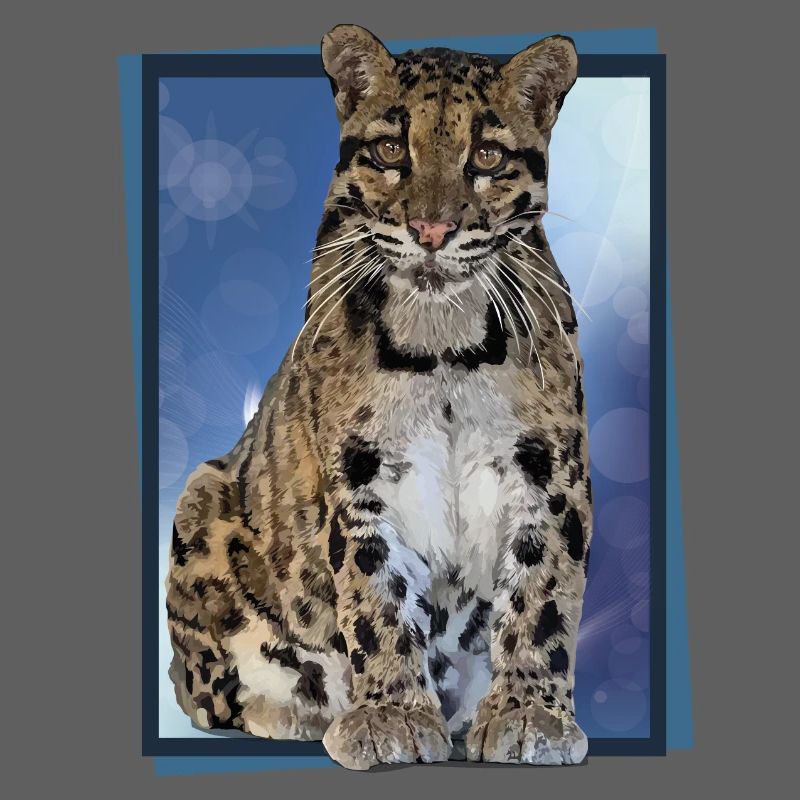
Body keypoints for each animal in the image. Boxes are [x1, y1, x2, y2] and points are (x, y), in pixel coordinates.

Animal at [166, 24, 592, 769]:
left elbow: (543, 595)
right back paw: (301, 711)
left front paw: (529, 714)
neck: (444, 343)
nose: (431, 231)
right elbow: (375, 597)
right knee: (208, 693)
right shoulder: (359, 476)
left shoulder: (549, 473)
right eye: (393, 149)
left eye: (486, 155)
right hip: (200, 495)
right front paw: (391, 715)